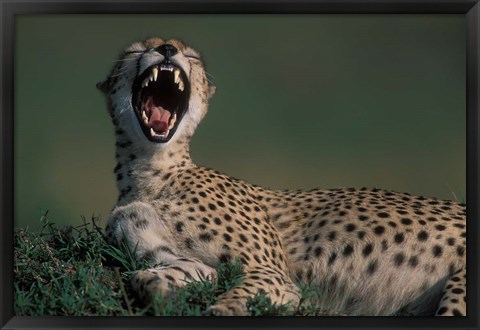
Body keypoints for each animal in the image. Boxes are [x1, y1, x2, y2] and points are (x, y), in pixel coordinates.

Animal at [98, 37, 464, 316]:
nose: (167, 49)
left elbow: (234, 298)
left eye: (191, 55)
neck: (152, 172)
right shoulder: (177, 255)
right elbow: (154, 274)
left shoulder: (273, 274)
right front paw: (161, 290)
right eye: (136, 50)